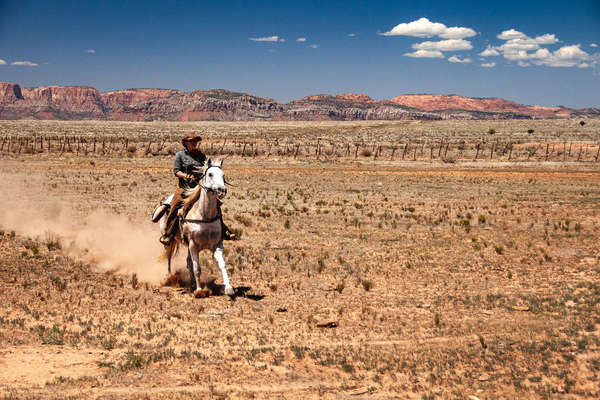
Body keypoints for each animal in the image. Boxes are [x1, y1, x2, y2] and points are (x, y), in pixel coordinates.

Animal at [155, 159, 234, 296]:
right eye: (210, 174)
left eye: (223, 175)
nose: (222, 190)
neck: (204, 215)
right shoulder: (193, 245)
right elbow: (197, 268)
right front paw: (199, 290)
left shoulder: (216, 244)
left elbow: (222, 264)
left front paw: (229, 288)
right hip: (169, 241)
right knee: (169, 256)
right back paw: (169, 277)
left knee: (188, 262)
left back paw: (191, 283)